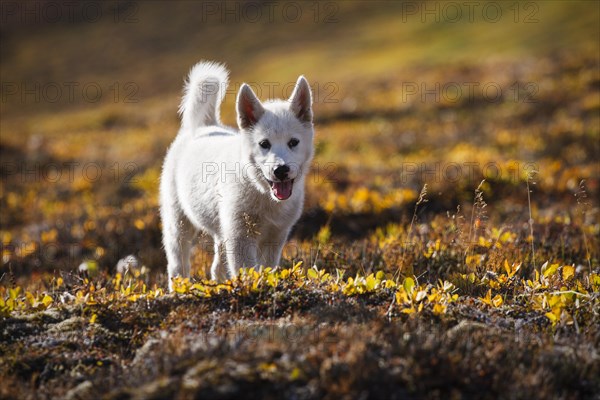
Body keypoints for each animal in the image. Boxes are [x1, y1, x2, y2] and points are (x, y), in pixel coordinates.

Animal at [161, 61, 318, 290]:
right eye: (264, 144)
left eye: (293, 142)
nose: (280, 170)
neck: (261, 192)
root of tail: (204, 126)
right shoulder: (240, 237)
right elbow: (248, 270)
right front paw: (252, 287)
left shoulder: (275, 236)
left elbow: (266, 269)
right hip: (178, 222)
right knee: (177, 263)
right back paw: (180, 288)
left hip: (221, 228)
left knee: (216, 267)